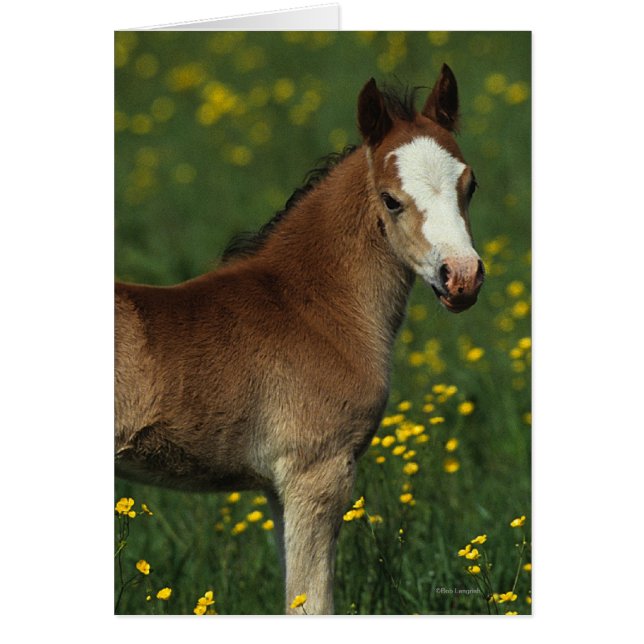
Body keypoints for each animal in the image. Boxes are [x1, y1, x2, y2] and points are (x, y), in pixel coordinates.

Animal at [115, 63, 484, 615]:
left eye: (471, 184)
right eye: (391, 200)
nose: (462, 277)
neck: (311, 310)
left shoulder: (277, 488)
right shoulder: (317, 473)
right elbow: (312, 602)